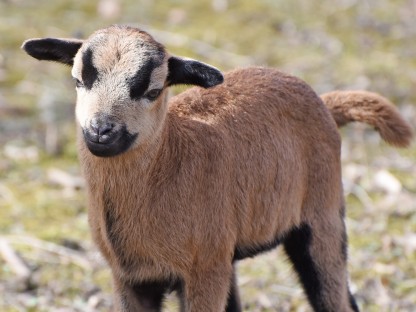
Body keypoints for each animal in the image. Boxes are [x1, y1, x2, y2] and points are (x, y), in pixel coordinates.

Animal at [22, 25, 412, 312]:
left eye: (152, 90)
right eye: (78, 80)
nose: (101, 131)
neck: (168, 161)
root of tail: (325, 103)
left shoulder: (201, 272)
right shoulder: (129, 278)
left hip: (322, 216)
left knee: (335, 296)